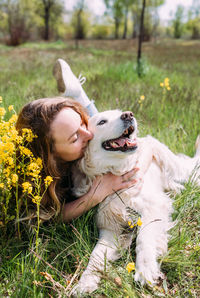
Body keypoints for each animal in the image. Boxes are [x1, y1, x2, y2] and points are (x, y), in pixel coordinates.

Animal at [71, 109, 199, 294]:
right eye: (102, 122)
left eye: (120, 113)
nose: (128, 115)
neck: (117, 173)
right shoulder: (111, 229)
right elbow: (96, 255)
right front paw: (85, 282)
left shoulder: (153, 208)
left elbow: (144, 238)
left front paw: (145, 270)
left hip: (176, 167)